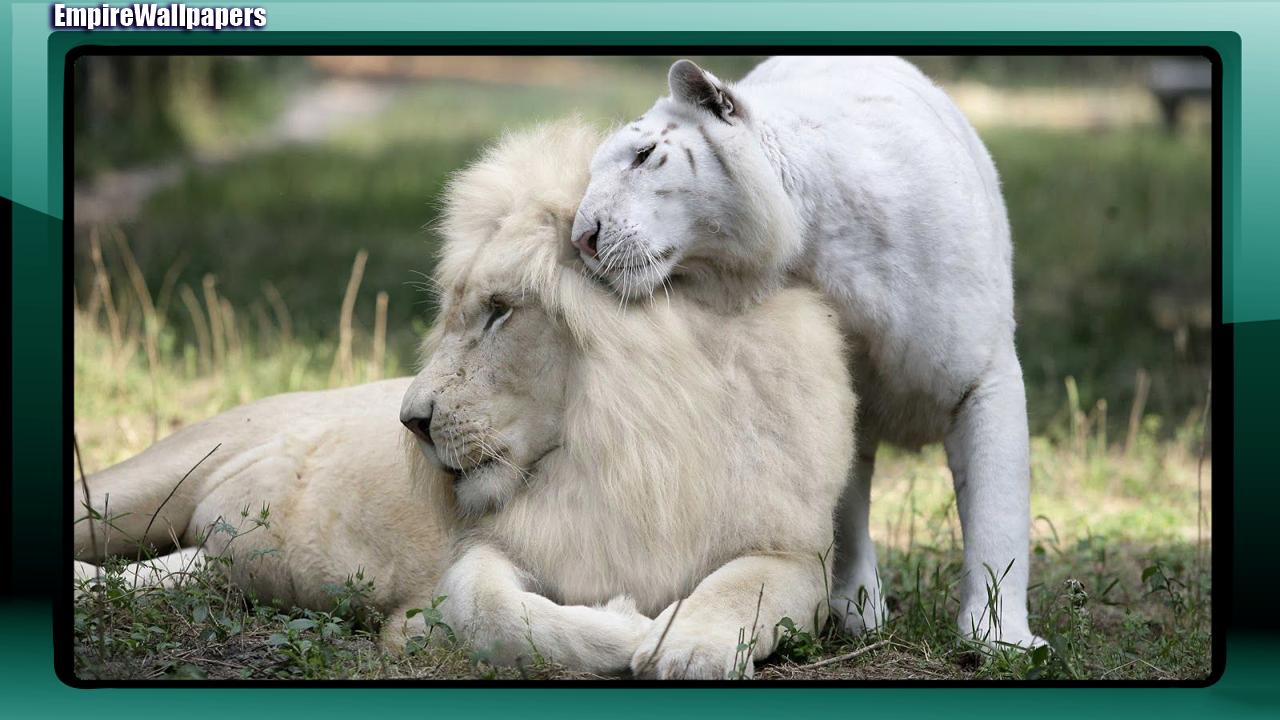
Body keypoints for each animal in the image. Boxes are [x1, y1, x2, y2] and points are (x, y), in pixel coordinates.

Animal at [74, 120, 856, 679]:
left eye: (500, 311)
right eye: (455, 313)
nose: (411, 422)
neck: (631, 449)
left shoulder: (799, 555)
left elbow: (740, 587)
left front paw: (686, 643)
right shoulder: (497, 545)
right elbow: (490, 610)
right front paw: (629, 626)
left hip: (206, 553)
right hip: (141, 488)